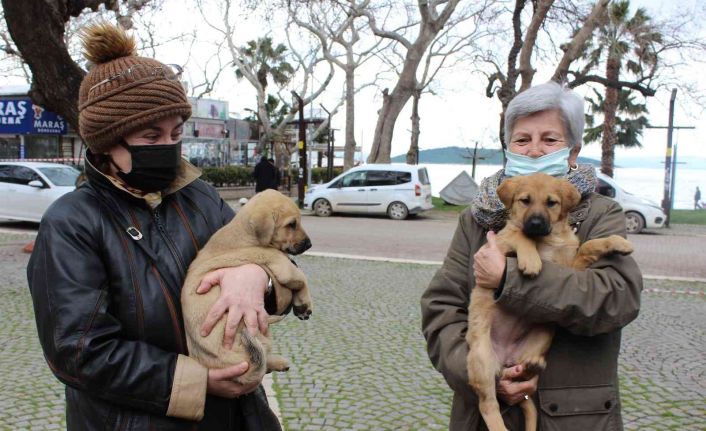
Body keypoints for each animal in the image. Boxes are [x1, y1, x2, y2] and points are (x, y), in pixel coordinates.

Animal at [182, 191, 310, 386]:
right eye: (292, 224)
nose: (309, 244)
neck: (244, 233)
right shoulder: (282, 264)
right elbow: (302, 279)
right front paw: (305, 304)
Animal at [464, 174, 628, 431]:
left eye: (551, 203)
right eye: (525, 201)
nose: (536, 223)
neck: (549, 239)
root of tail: (505, 361)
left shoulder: (571, 270)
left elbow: (588, 246)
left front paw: (618, 242)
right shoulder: (499, 243)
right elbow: (520, 235)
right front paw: (531, 260)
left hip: (541, 337)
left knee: (524, 382)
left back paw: (533, 365)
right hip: (481, 360)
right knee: (487, 405)